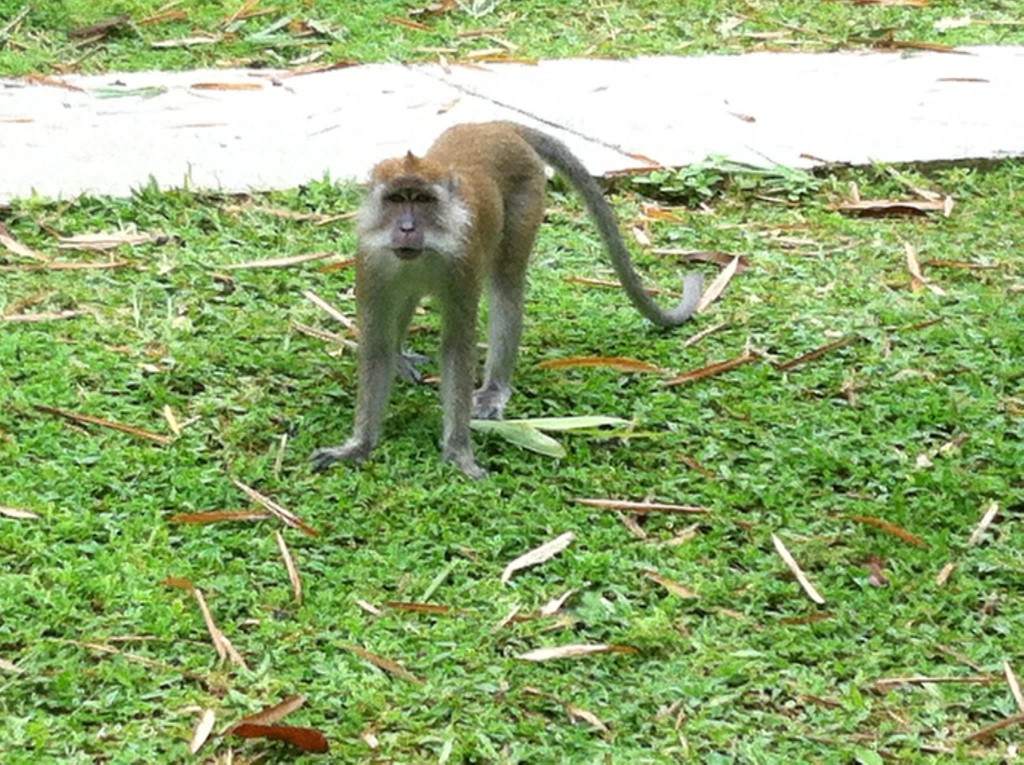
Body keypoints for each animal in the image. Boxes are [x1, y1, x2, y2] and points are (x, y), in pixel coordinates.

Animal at [307, 121, 700, 479]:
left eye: (422, 200)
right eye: (395, 200)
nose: (406, 228)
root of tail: (494, 125)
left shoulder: (461, 263)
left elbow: (457, 347)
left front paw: (458, 451)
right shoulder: (372, 263)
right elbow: (376, 345)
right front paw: (358, 445)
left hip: (528, 195)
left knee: (506, 286)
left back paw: (494, 388)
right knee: (411, 297)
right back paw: (402, 357)